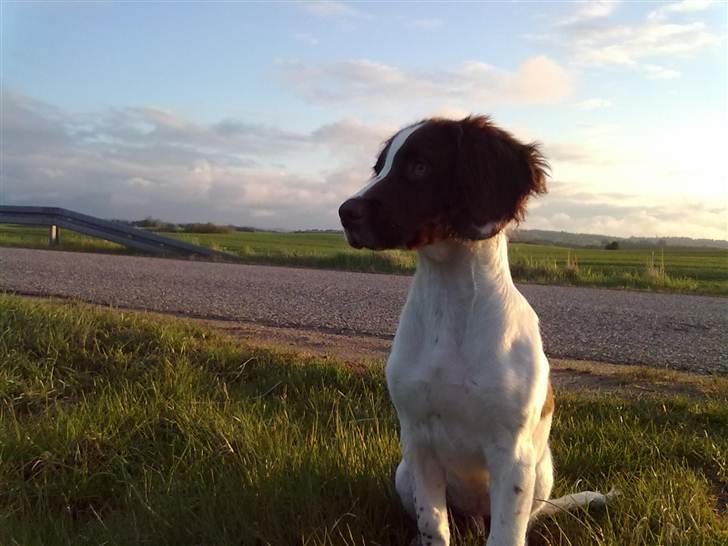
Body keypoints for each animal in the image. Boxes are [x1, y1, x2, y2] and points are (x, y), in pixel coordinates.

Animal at [338, 116, 612, 544]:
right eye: (378, 168)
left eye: (419, 166)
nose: (345, 212)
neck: (450, 305)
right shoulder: (418, 440)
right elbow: (434, 526)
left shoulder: (512, 454)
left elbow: (505, 535)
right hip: (404, 470)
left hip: (540, 474)